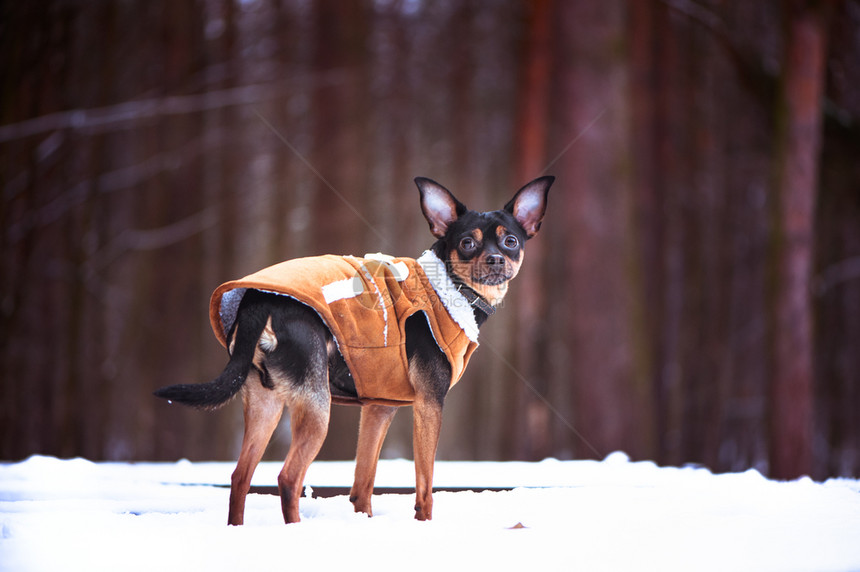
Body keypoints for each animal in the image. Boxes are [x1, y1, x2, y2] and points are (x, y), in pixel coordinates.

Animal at [155, 177, 556, 524]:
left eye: (511, 241)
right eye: (468, 244)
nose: (496, 259)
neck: (450, 288)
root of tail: (258, 300)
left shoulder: (379, 408)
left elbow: (363, 484)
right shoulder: (429, 405)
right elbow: (425, 484)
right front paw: (424, 525)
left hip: (265, 402)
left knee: (240, 476)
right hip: (317, 407)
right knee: (288, 478)